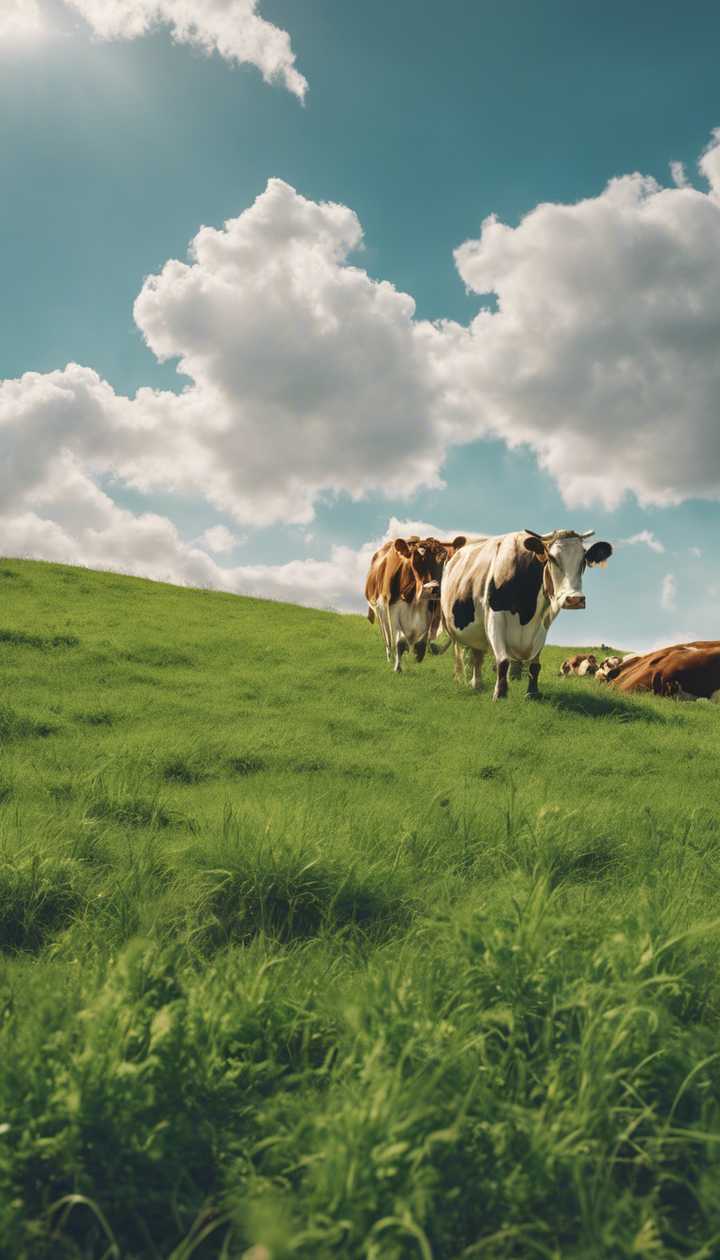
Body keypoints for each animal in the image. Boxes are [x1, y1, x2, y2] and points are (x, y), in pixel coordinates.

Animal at [365, 536, 466, 671]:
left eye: (445, 559)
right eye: (417, 559)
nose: (434, 588)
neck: (413, 598)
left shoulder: (430, 608)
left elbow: (423, 638)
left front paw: (418, 652)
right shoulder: (391, 609)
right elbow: (400, 641)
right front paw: (398, 668)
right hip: (379, 609)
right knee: (386, 634)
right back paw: (389, 654)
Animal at [439, 528, 613, 700]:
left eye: (583, 560)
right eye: (552, 558)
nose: (575, 599)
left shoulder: (543, 624)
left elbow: (535, 665)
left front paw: (532, 692)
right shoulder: (494, 618)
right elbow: (503, 661)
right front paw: (500, 694)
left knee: (477, 654)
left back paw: (477, 684)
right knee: (462, 654)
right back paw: (461, 680)